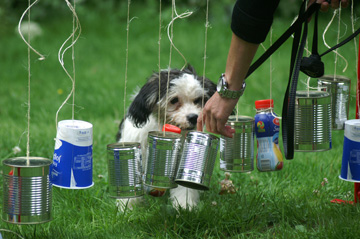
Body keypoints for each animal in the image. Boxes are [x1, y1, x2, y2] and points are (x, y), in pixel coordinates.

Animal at [116, 64, 215, 211]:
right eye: (174, 100)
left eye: (198, 100)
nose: (193, 117)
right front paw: (126, 207)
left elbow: (184, 188)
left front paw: (185, 206)